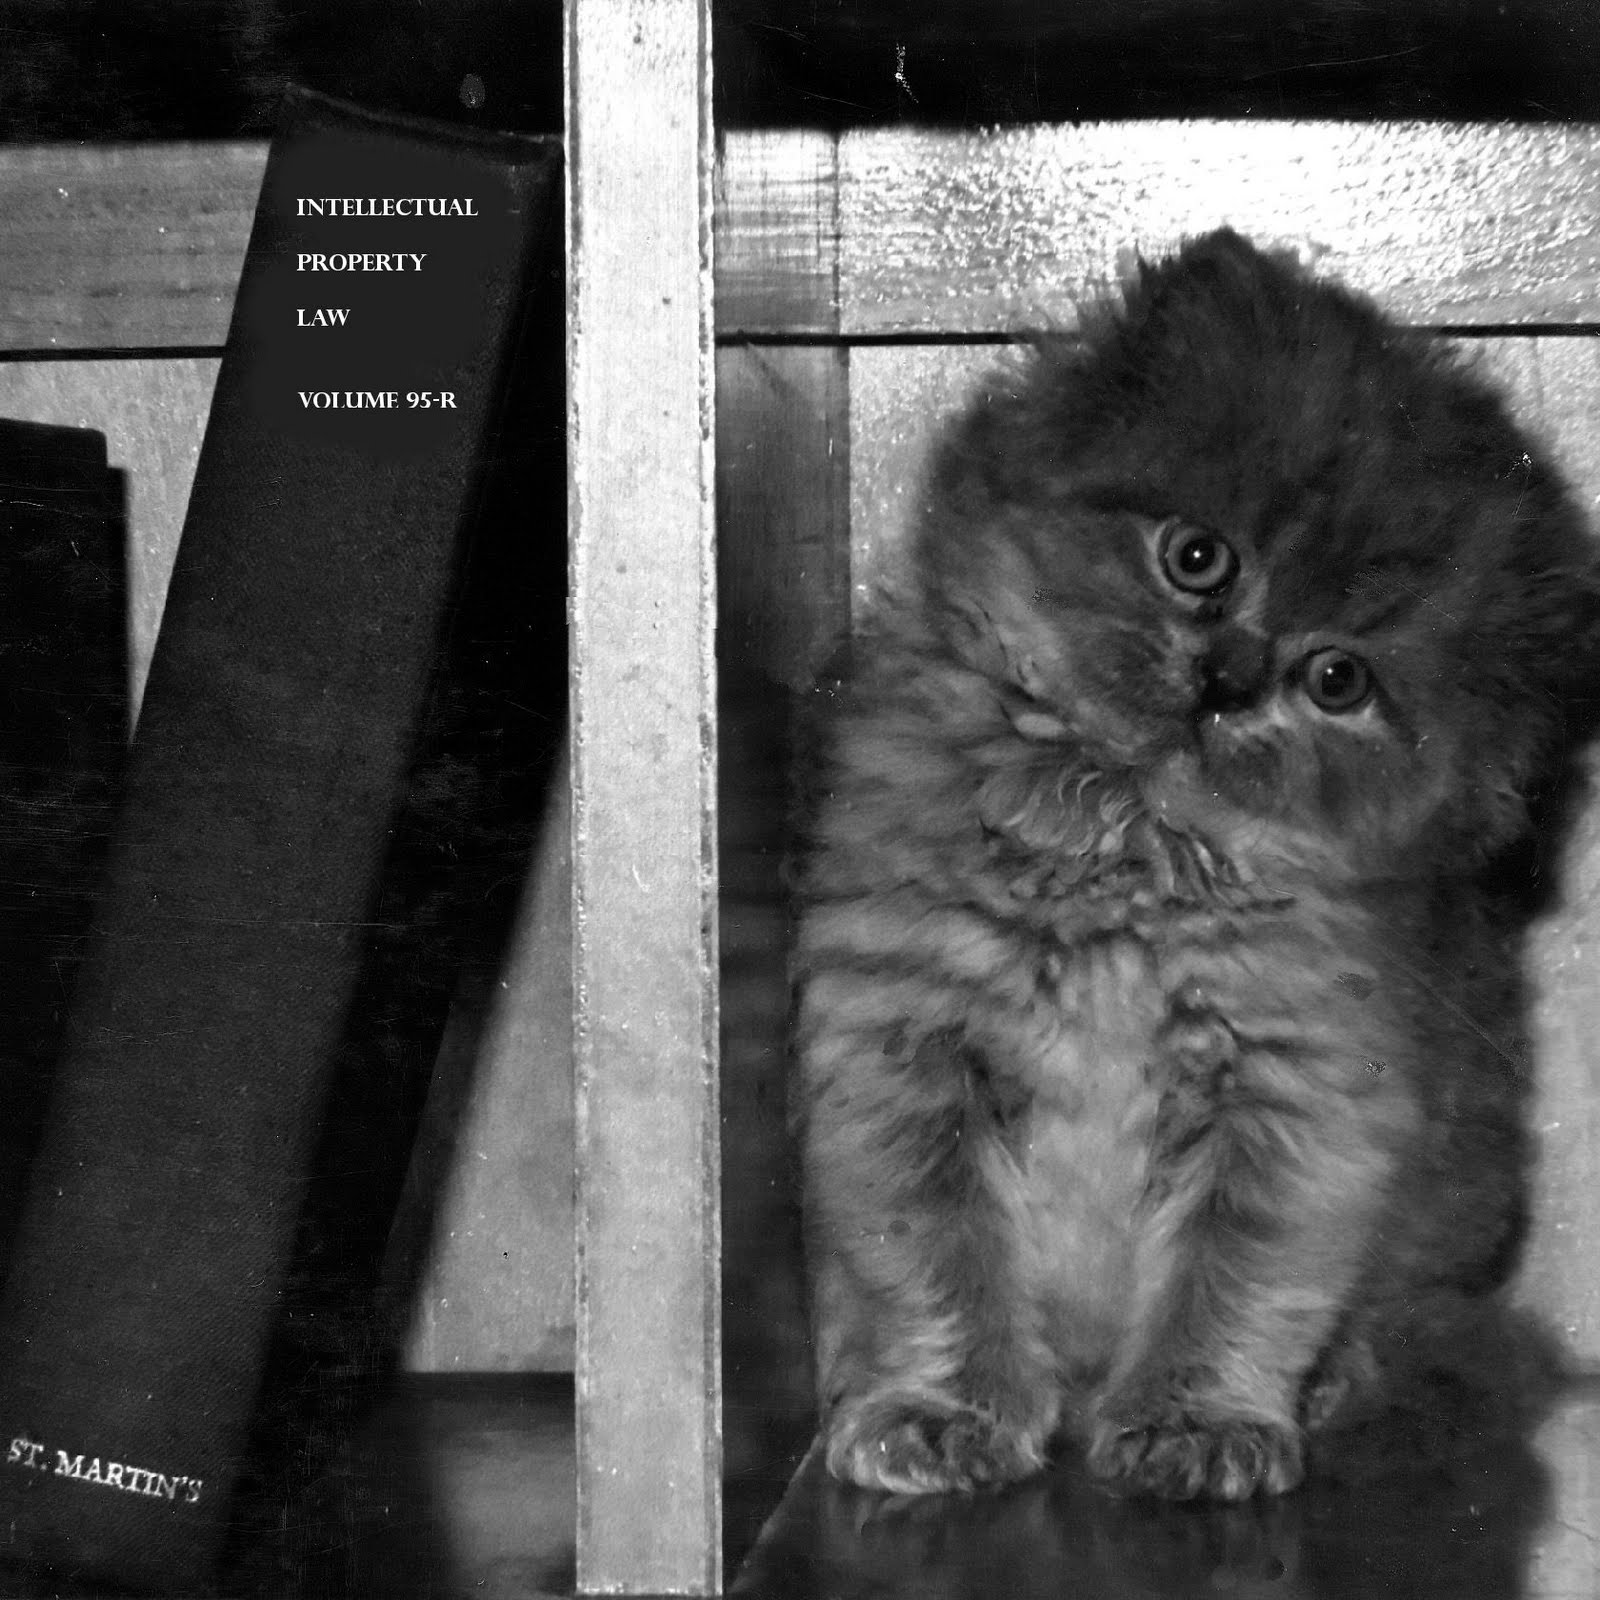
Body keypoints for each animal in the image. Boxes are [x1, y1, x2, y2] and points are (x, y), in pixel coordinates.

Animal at [790, 227, 1600, 1503]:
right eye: (1196, 558)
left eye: (1336, 680)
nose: (1227, 677)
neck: (1128, 848)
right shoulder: (903, 1049)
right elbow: (936, 1267)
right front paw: (941, 1410)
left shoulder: (1297, 1095)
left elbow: (1235, 1288)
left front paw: (1197, 1423)